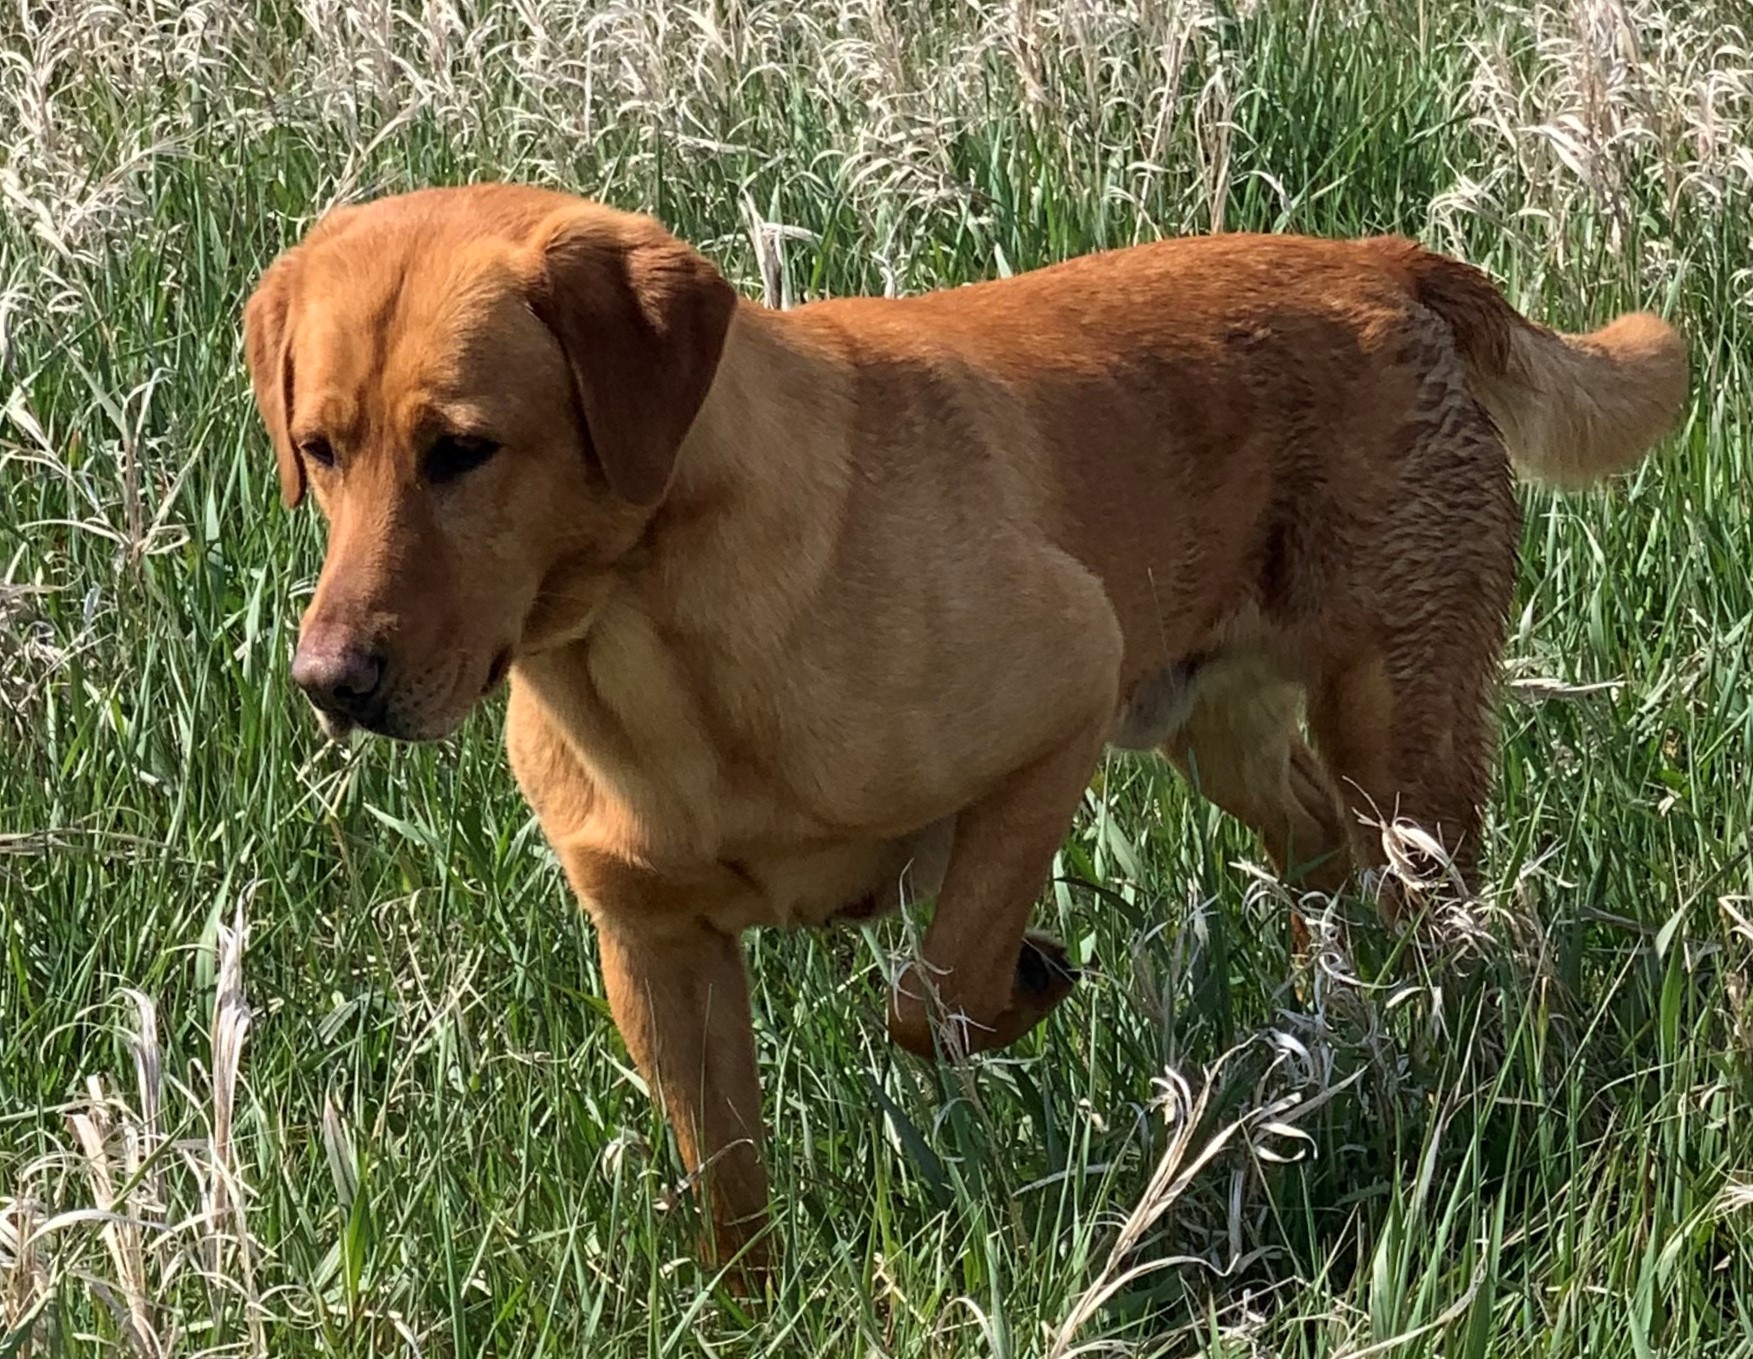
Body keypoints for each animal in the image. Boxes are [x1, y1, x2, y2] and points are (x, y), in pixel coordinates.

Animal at [243, 180, 1682, 1262]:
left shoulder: (1060, 699)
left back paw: (1460, 1065)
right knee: (1323, 865)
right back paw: (1333, 1022)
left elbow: (931, 994)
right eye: (320, 449)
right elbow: (728, 1193)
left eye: (463, 449)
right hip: (1228, 736)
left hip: (1399, 737)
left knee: (1467, 932)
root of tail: (1381, 262)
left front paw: (1029, 979)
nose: (330, 680)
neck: (650, 648)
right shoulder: (655, 952)